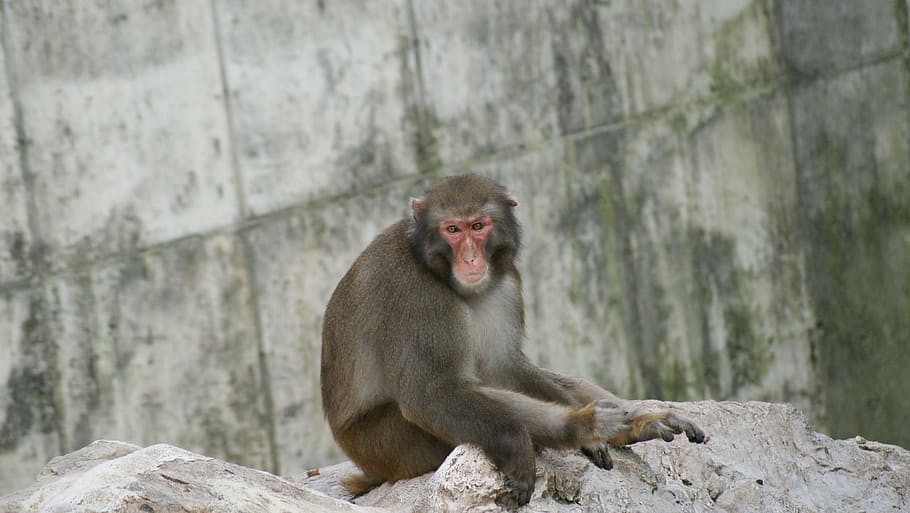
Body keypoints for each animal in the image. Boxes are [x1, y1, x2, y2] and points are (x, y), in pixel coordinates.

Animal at [320, 175, 704, 507]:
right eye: (452, 229)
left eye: (478, 226)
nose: (470, 258)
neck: (435, 268)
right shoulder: (416, 293)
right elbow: (430, 393)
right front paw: (542, 438)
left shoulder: (505, 284)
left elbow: (505, 368)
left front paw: (620, 425)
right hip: (390, 445)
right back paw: (580, 427)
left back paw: (632, 423)